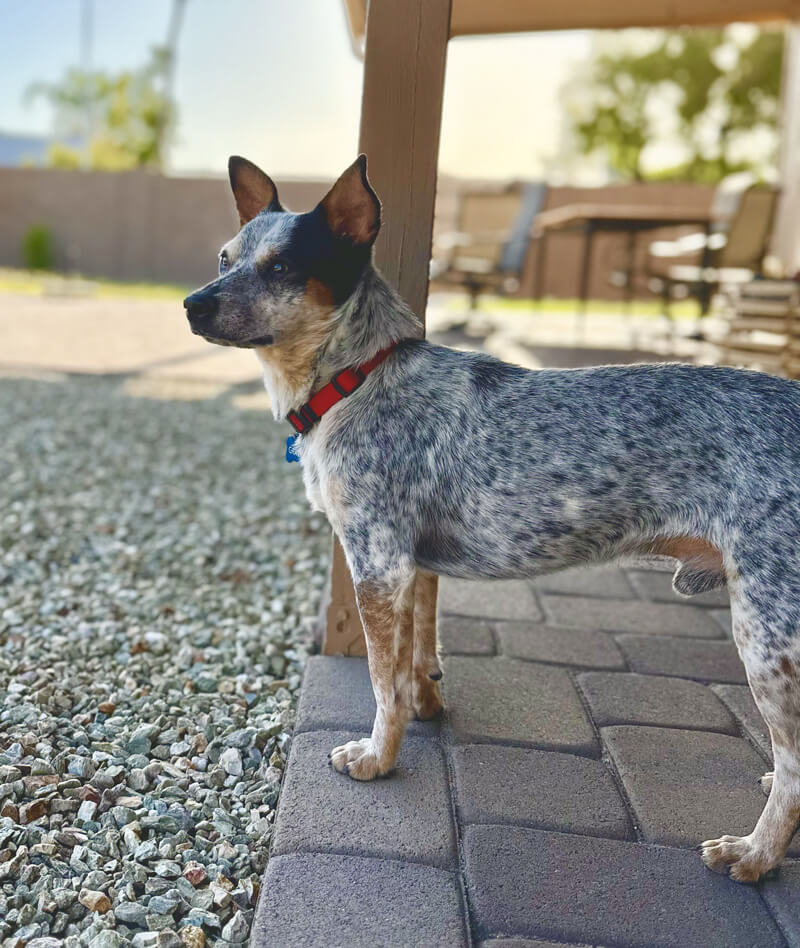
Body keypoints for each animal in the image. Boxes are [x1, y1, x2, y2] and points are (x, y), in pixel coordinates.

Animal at [184, 152, 800, 884]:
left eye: (281, 266)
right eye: (225, 258)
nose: (192, 303)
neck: (358, 378)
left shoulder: (377, 564)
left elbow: (381, 681)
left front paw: (377, 757)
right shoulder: (414, 566)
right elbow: (418, 654)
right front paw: (426, 704)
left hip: (767, 632)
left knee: (795, 767)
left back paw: (755, 853)